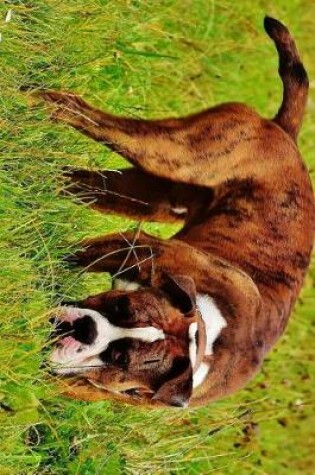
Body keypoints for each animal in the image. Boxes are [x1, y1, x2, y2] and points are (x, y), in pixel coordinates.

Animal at [42, 16, 315, 408]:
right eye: (122, 308)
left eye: (121, 358)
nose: (85, 329)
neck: (202, 336)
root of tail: (286, 133)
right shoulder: (127, 246)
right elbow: (72, 256)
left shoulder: (93, 384)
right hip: (166, 150)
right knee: (76, 109)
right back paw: (34, 96)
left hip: (133, 193)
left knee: (72, 180)